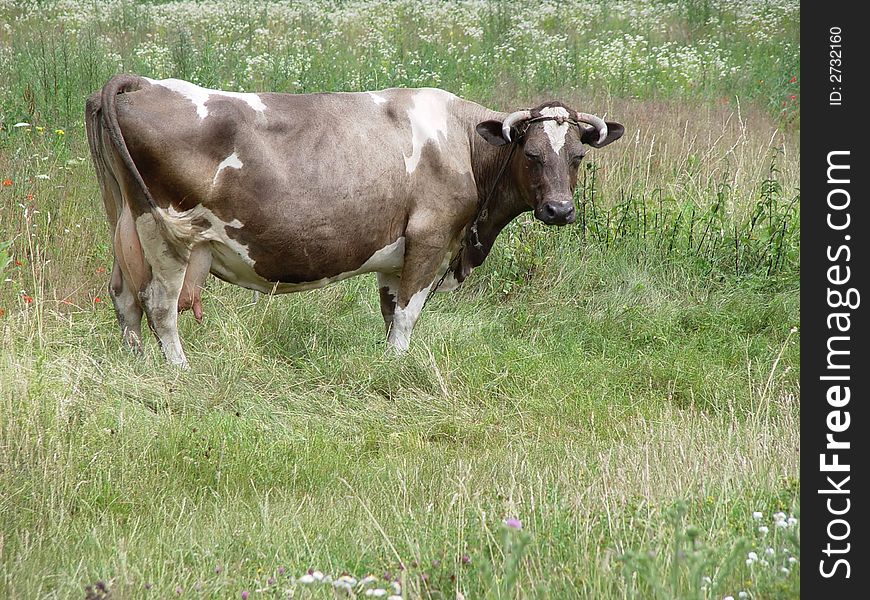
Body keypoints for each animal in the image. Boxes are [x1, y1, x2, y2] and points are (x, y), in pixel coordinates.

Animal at [83, 75, 628, 366]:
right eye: (532, 155)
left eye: (578, 156)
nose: (559, 211)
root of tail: (142, 84)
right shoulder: (429, 239)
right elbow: (407, 316)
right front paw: (400, 370)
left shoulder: (395, 257)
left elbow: (390, 315)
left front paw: (388, 366)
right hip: (165, 236)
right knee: (159, 306)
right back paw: (179, 371)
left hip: (123, 226)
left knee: (124, 298)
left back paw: (138, 365)